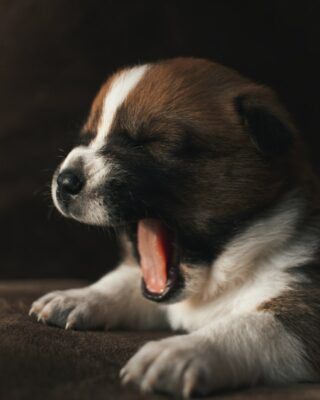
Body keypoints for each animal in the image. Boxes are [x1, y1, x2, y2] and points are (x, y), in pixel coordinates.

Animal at [29, 57, 320, 396]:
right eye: (88, 137)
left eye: (148, 142)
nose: (65, 181)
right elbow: (123, 280)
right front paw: (77, 297)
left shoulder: (307, 304)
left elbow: (252, 327)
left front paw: (180, 352)